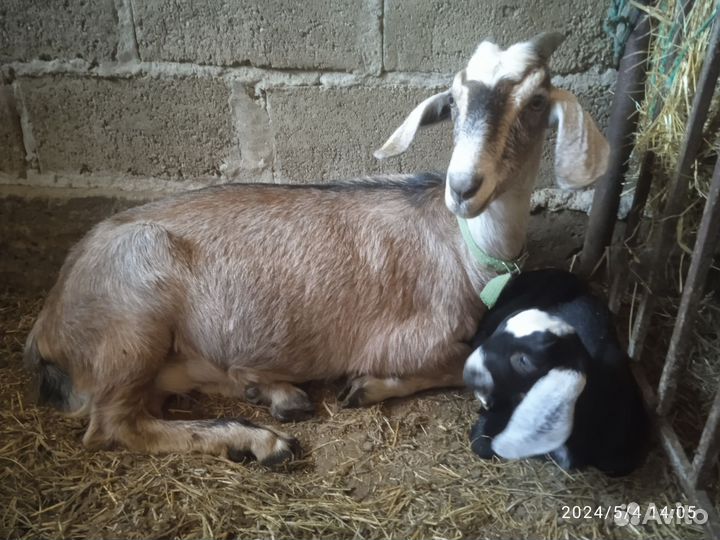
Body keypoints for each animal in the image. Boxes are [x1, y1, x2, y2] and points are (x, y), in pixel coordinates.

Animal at [24, 33, 609, 466]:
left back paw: (275, 395)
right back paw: (262, 440)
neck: (465, 247)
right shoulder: (413, 339)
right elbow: (455, 365)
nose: (463, 186)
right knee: (113, 425)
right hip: (134, 325)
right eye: (455, 101)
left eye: (536, 101)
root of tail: (48, 321)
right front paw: (365, 387)